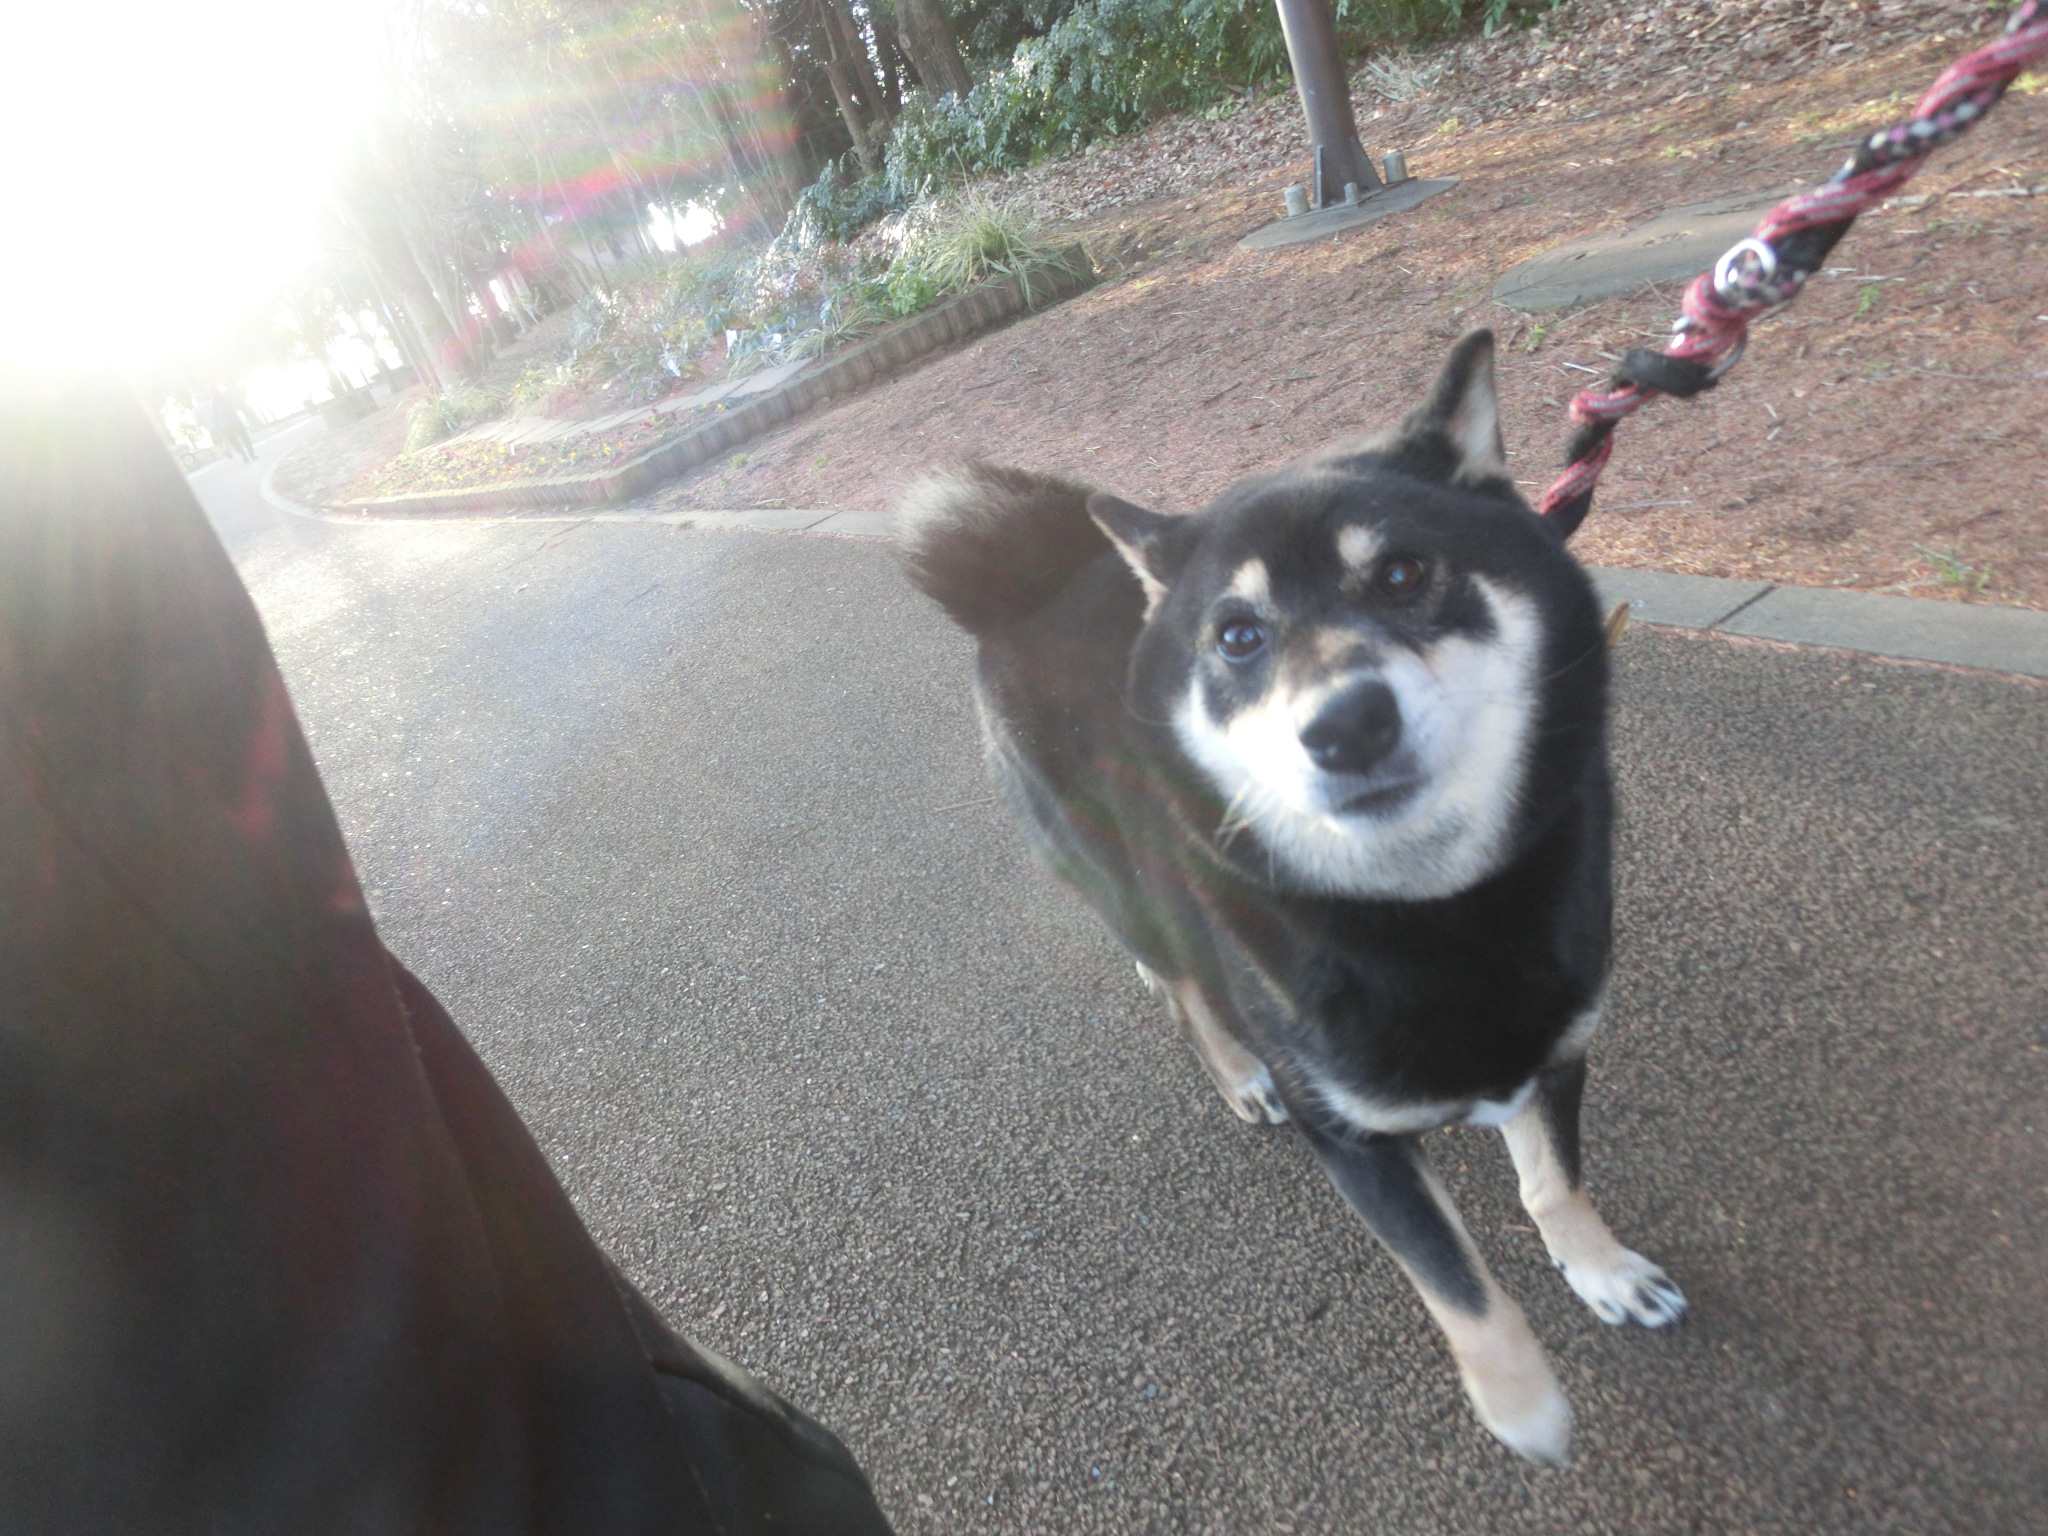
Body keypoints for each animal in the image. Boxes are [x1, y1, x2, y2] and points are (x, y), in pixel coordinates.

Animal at [896, 330, 1684, 1464]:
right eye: (1237, 637)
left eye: (1401, 572)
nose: (1346, 724)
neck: (1429, 910)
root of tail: (1024, 583)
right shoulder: (1352, 1139)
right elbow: (1455, 1284)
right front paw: (1521, 1405)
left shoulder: (1556, 1047)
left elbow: (1552, 1182)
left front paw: (1602, 1271)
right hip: (1127, 876)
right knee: (1186, 986)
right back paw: (1237, 1075)